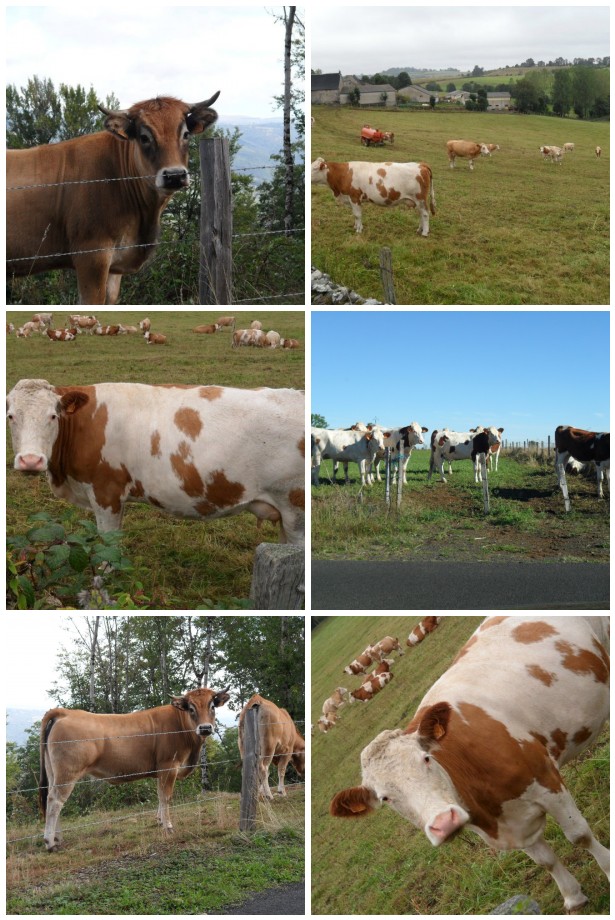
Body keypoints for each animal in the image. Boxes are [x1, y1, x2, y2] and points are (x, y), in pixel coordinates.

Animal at [7, 379, 305, 544]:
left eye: (53, 416)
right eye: (10, 416)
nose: (30, 460)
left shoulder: (106, 491)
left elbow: (107, 544)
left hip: (295, 505)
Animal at [40, 686, 230, 851]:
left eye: (212, 705)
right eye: (191, 708)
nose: (205, 728)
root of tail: (66, 712)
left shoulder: (161, 771)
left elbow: (160, 795)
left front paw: (160, 820)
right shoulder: (169, 766)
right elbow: (166, 797)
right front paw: (168, 826)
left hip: (53, 773)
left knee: (52, 798)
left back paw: (57, 838)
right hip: (68, 773)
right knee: (55, 801)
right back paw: (50, 842)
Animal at [330, 616, 610, 914]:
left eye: (426, 758)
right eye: (386, 798)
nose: (444, 822)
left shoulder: (546, 779)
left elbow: (579, 836)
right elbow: (545, 861)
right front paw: (573, 896)